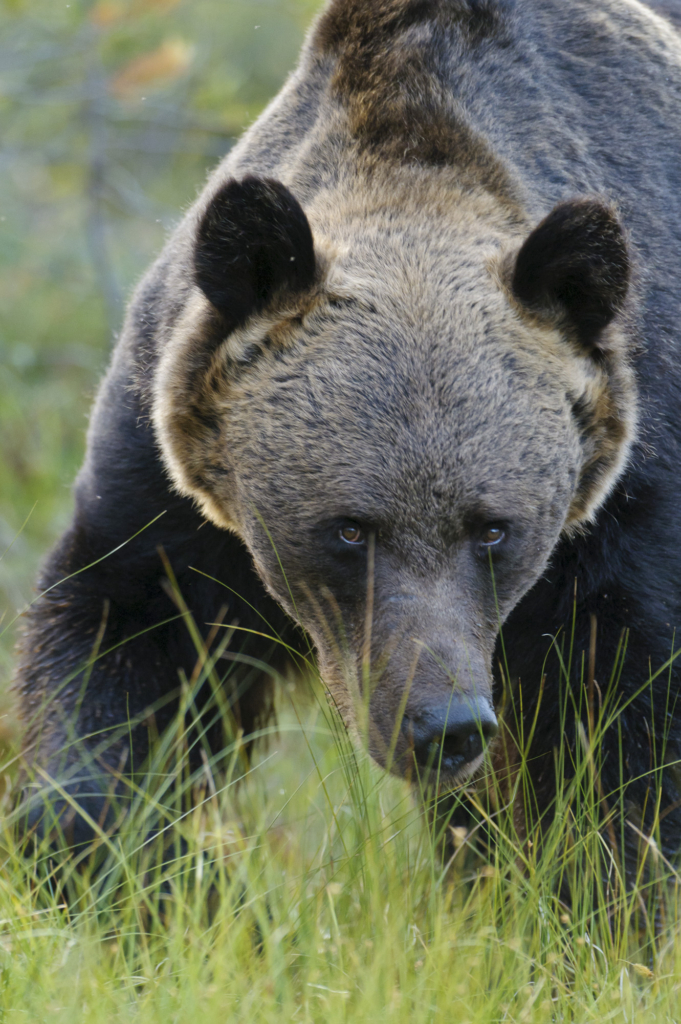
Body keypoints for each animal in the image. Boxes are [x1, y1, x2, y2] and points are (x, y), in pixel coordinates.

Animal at [14, 0, 681, 856]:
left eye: (493, 528)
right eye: (349, 528)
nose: (444, 725)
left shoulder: (629, 510)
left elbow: (618, 744)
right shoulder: (170, 489)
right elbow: (122, 644)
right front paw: (90, 846)